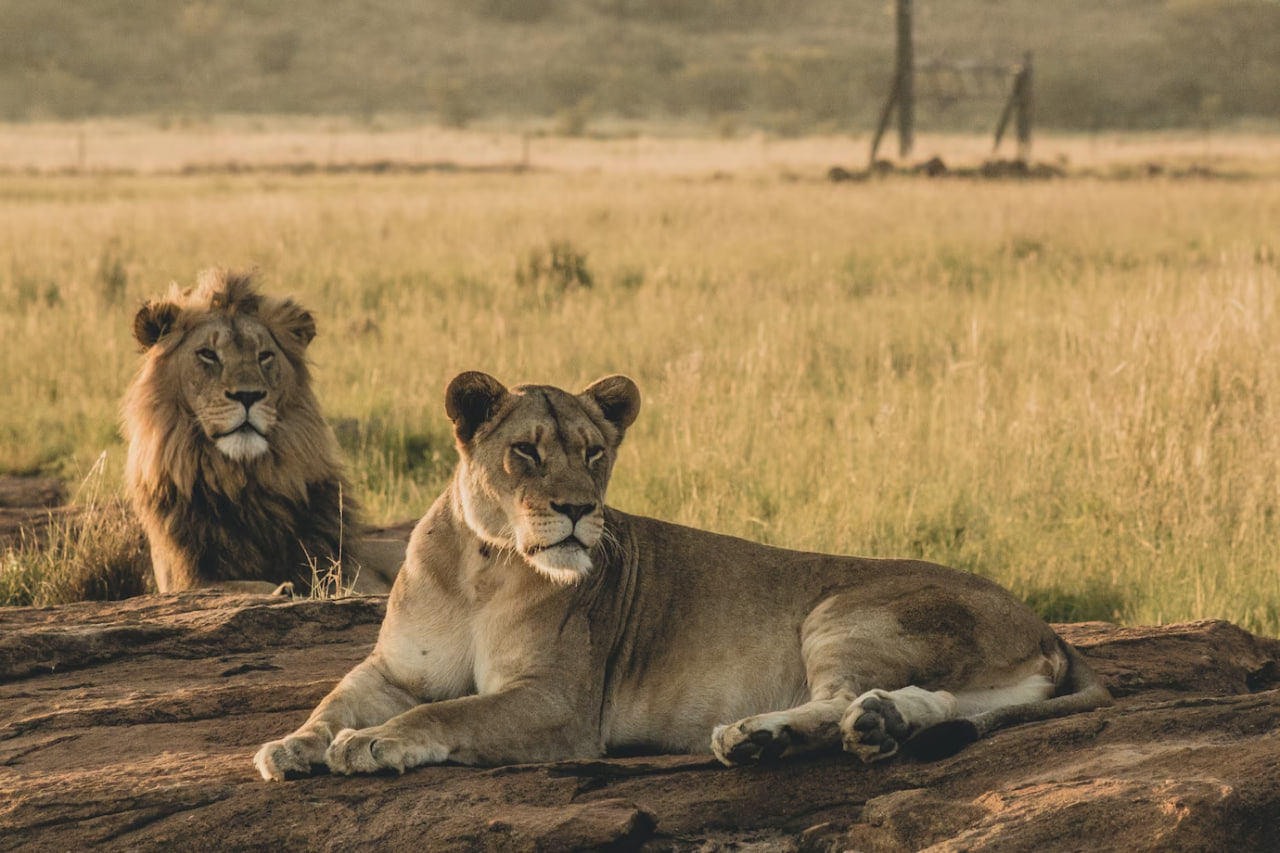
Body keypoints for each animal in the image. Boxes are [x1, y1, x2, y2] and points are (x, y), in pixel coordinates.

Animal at [120, 268, 399, 594]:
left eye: (264, 355)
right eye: (208, 354)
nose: (248, 395)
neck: (243, 481)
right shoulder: (186, 578)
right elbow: (244, 585)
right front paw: (281, 589)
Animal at [252, 368, 1111, 773]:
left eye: (595, 452)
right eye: (525, 450)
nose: (578, 508)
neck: (482, 565)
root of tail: (1046, 626)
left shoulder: (559, 703)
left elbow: (448, 713)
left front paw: (373, 744)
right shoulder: (393, 667)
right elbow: (334, 701)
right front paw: (291, 746)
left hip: (844, 609)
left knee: (838, 697)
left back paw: (758, 736)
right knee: (929, 702)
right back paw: (876, 725)